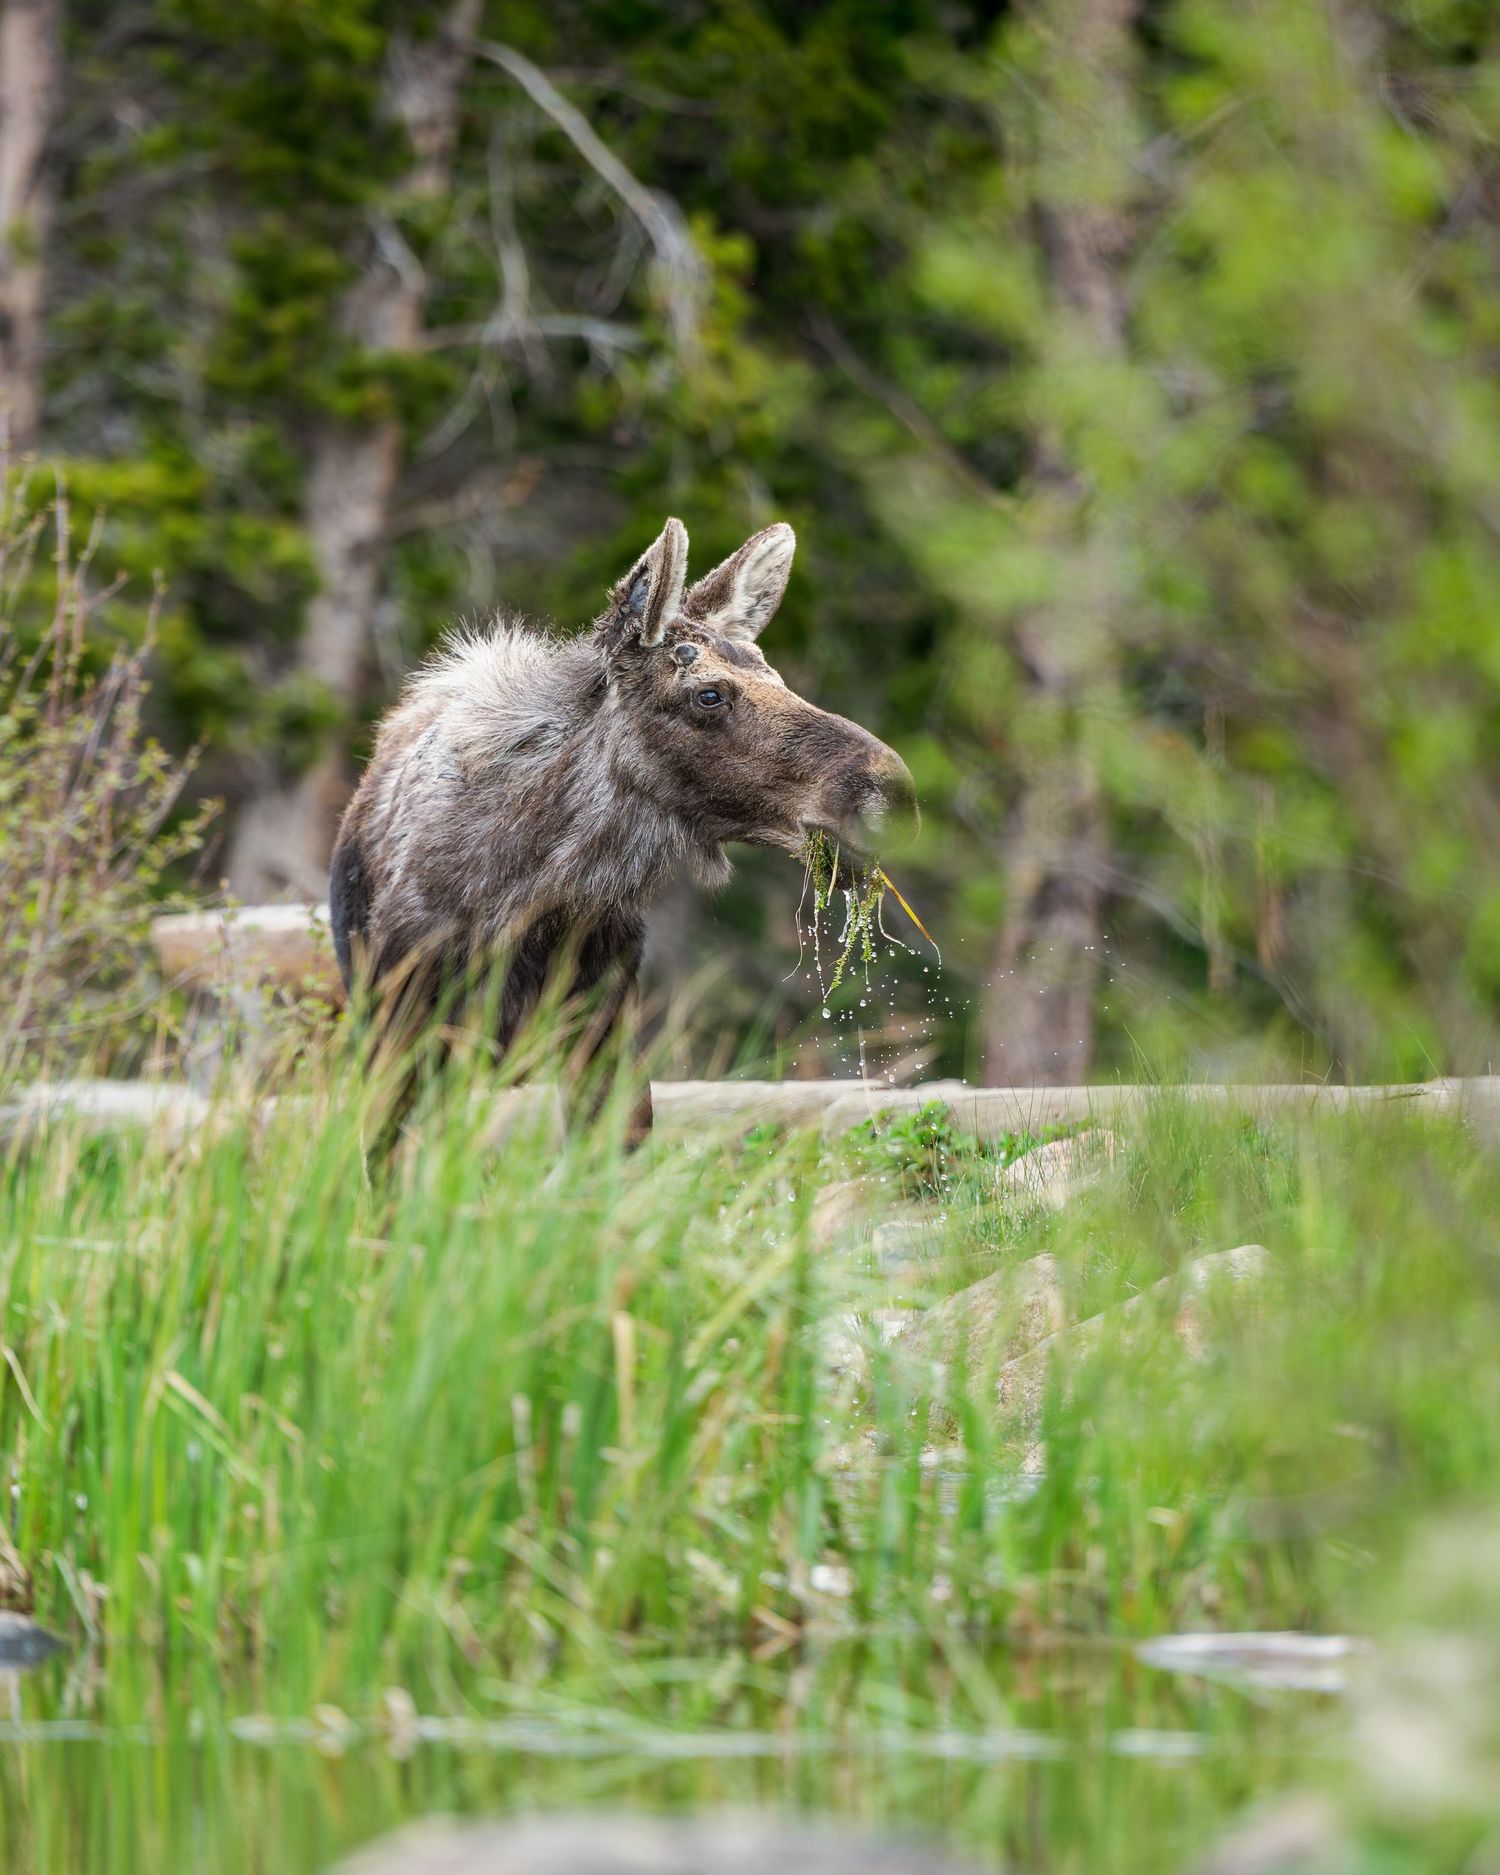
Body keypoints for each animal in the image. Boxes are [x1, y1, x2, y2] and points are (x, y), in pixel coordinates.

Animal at [329, 517, 916, 1144]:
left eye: (778, 678)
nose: (893, 792)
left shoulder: (605, 1023)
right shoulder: (399, 1028)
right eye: (708, 693)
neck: (524, 897)